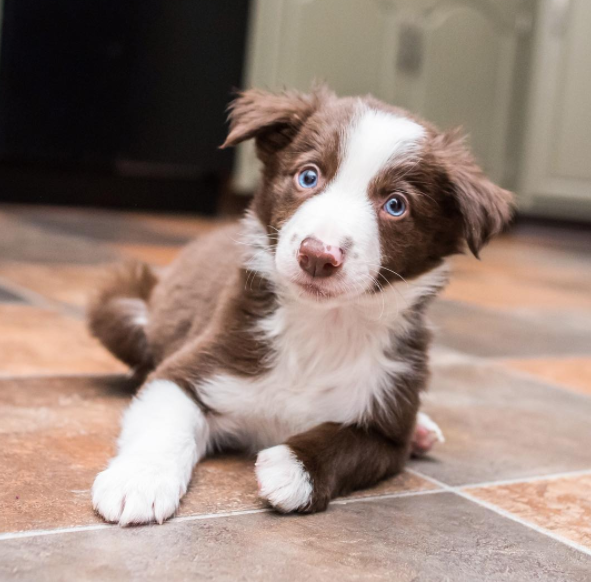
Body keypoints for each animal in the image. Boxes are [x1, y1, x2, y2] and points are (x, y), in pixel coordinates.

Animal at [88, 88, 512, 528]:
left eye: (396, 205)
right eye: (308, 176)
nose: (318, 256)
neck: (321, 325)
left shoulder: (389, 422)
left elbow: (345, 444)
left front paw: (292, 470)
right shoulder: (194, 367)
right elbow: (165, 421)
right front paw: (138, 481)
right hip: (122, 309)